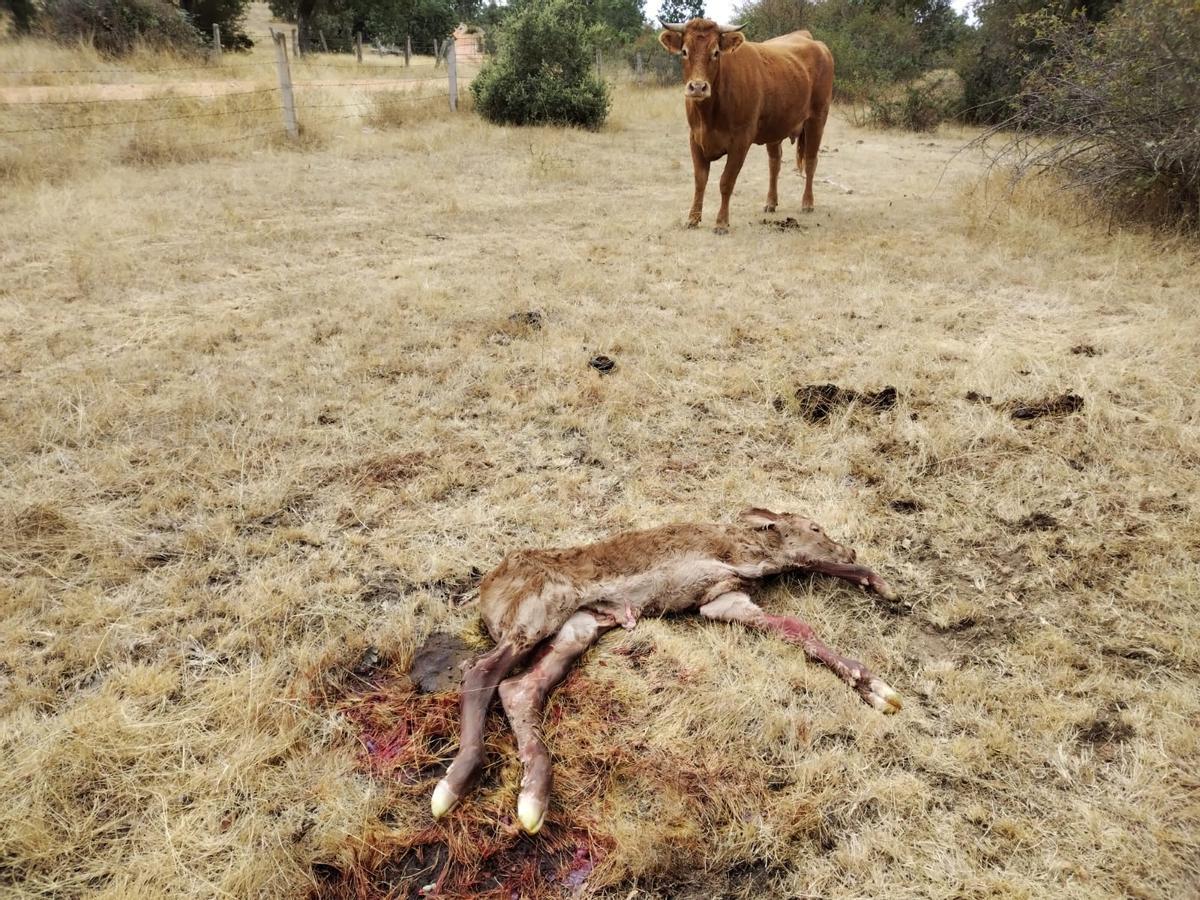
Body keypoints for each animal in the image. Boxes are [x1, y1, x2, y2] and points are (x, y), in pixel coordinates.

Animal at [432, 508, 902, 840]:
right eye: (815, 527)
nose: (851, 550)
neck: (751, 548)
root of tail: (485, 591)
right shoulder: (742, 565)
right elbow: (805, 566)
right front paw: (879, 583)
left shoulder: (723, 600)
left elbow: (797, 627)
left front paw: (877, 688)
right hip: (538, 611)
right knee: (480, 672)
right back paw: (454, 783)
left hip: (577, 626)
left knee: (519, 687)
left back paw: (532, 797)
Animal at [657, 21, 835, 234]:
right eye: (684, 51)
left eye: (716, 52)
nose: (698, 87)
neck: (710, 114)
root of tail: (813, 42)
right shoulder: (695, 138)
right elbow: (700, 180)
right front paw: (693, 218)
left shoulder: (741, 141)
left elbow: (726, 181)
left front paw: (721, 223)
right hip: (775, 128)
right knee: (774, 163)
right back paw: (770, 202)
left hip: (817, 119)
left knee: (810, 161)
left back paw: (807, 203)